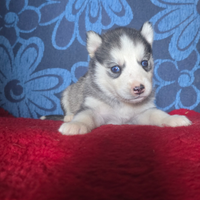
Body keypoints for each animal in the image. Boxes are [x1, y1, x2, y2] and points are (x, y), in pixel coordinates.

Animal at [41, 21, 191, 134]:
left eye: (144, 63)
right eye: (115, 69)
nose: (139, 88)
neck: (122, 103)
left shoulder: (142, 113)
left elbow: (157, 114)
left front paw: (172, 119)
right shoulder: (94, 109)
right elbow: (84, 115)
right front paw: (76, 124)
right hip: (68, 92)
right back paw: (70, 117)